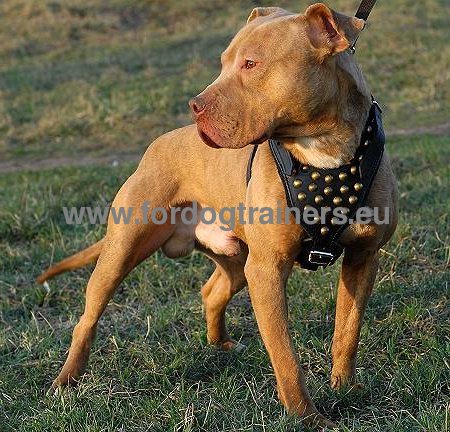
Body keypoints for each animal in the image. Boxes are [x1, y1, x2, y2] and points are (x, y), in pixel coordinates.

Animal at [37, 4, 398, 428]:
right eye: (223, 62)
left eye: (250, 63)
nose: (195, 106)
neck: (322, 151)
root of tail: (157, 144)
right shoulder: (267, 269)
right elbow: (286, 356)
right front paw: (305, 416)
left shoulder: (363, 258)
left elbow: (347, 330)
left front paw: (345, 387)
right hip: (121, 251)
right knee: (88, 318)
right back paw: (66, 380)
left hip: (237, 262)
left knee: (212, 291)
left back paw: (219, 345)